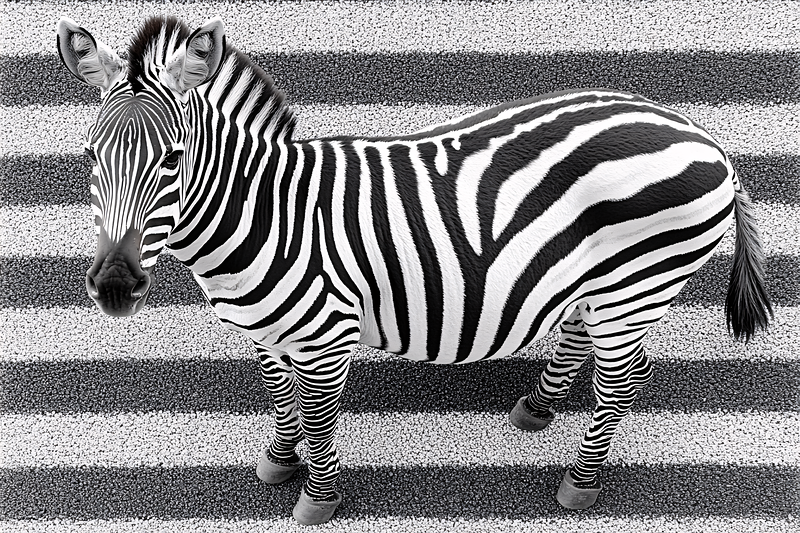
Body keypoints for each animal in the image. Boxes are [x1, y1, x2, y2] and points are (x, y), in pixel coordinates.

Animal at [57, 15, 772, 524]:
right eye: (90, 156)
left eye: (172, 159)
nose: (114, 288)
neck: (266, 215)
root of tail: (704, 138)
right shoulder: (264, 330)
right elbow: (282, 402)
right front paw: (279, 462)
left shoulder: (325, 335)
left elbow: (316, 415)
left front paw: (316, 500)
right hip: (593, 281)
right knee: (577, 336)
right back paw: (539, 407)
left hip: (638, 284)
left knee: (621, 382)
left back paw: (580, 484)